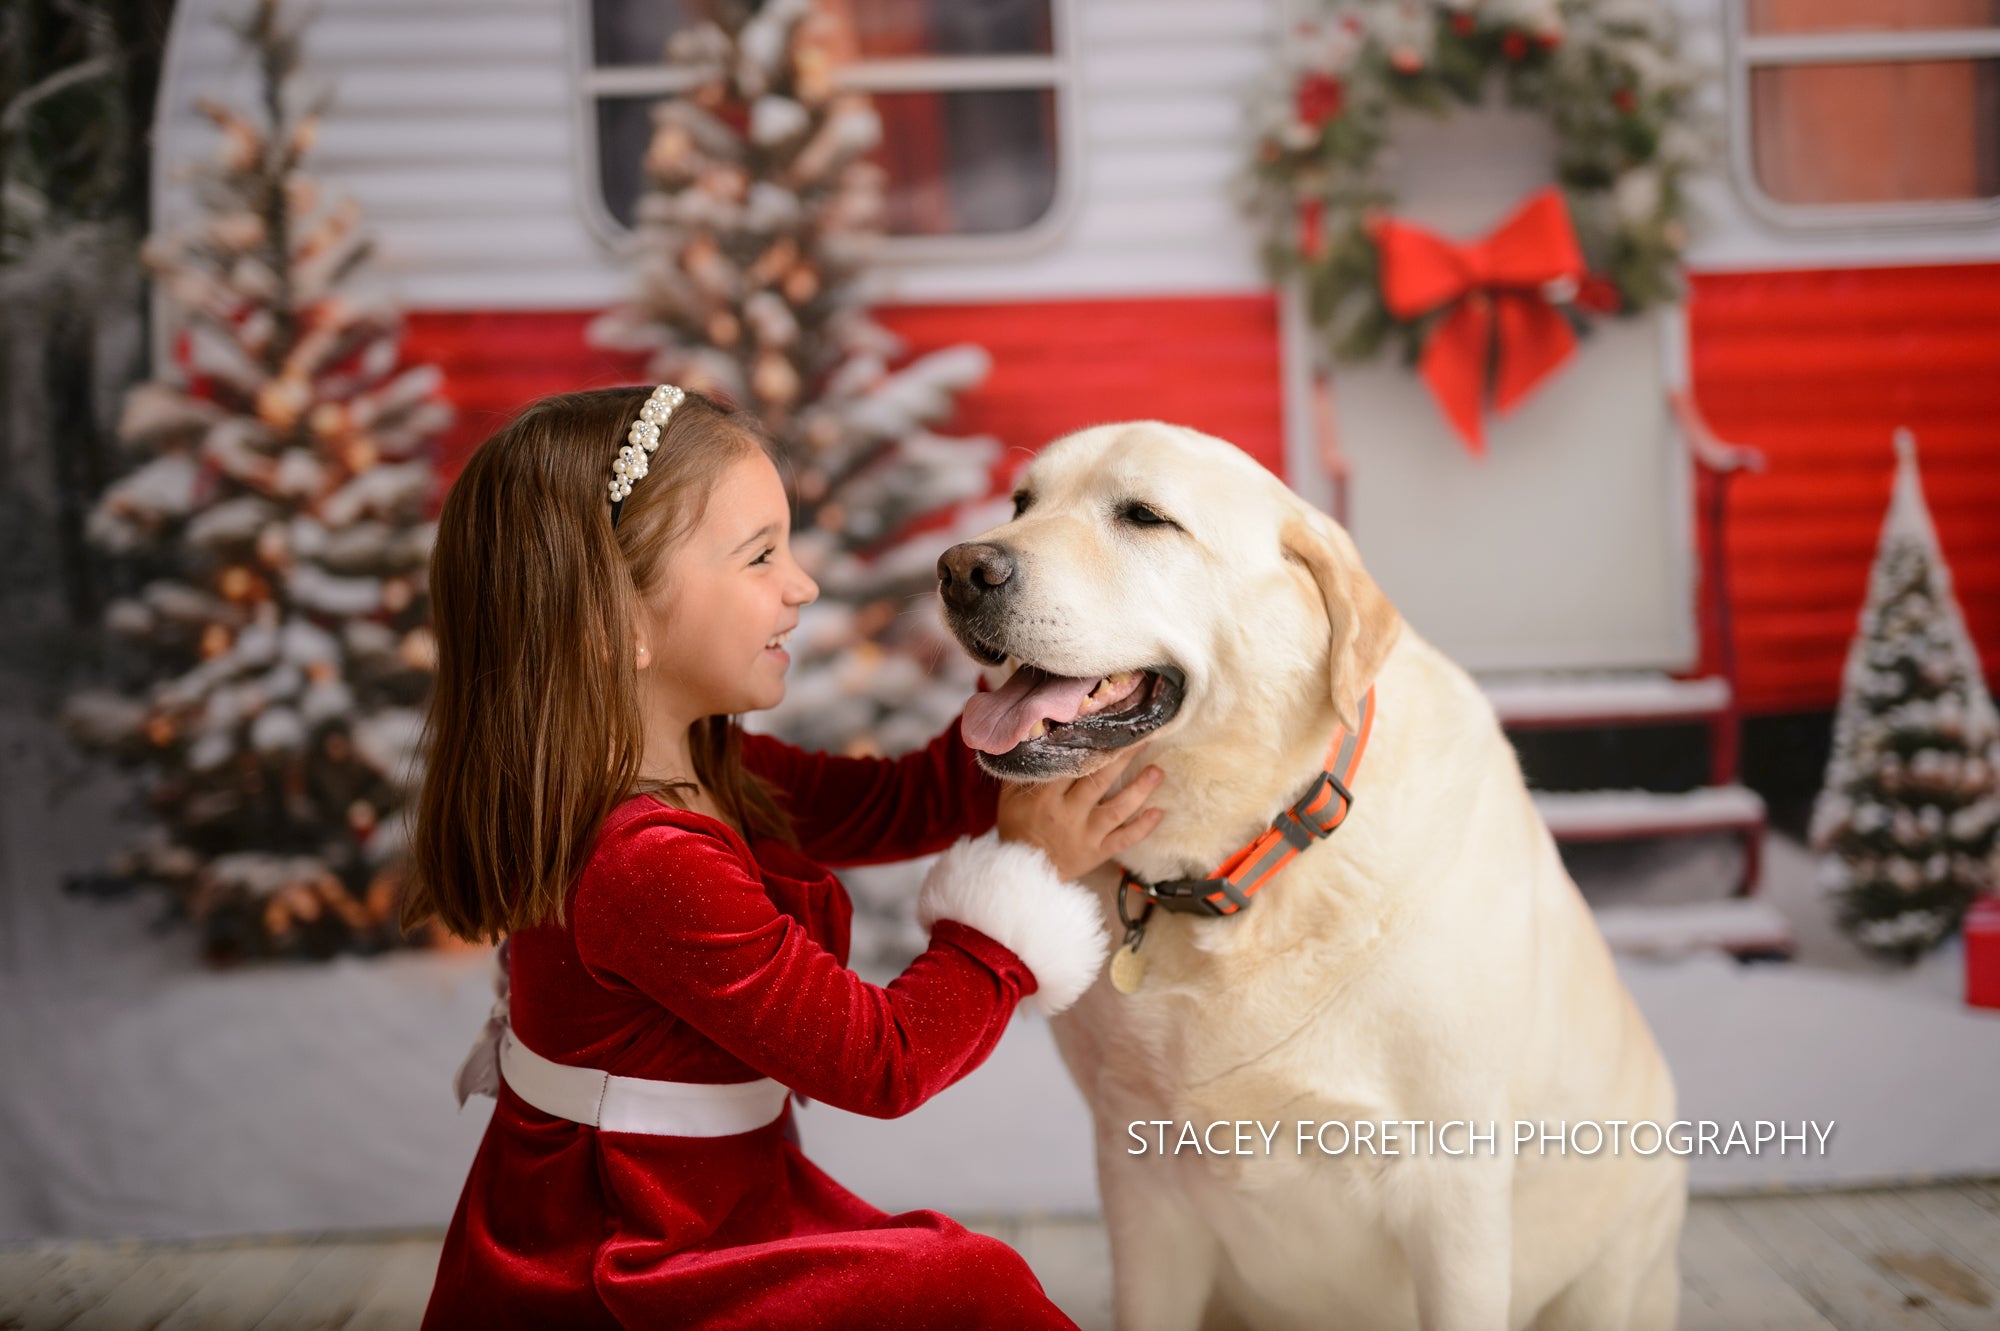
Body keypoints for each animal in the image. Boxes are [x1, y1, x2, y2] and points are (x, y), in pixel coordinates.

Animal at [928, 421, 1680, 1327]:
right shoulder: (1138, 1177)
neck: (1242, 862)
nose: (960, 568)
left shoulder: (1455, 1187)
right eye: (1020, 503)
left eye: (1145, 516)